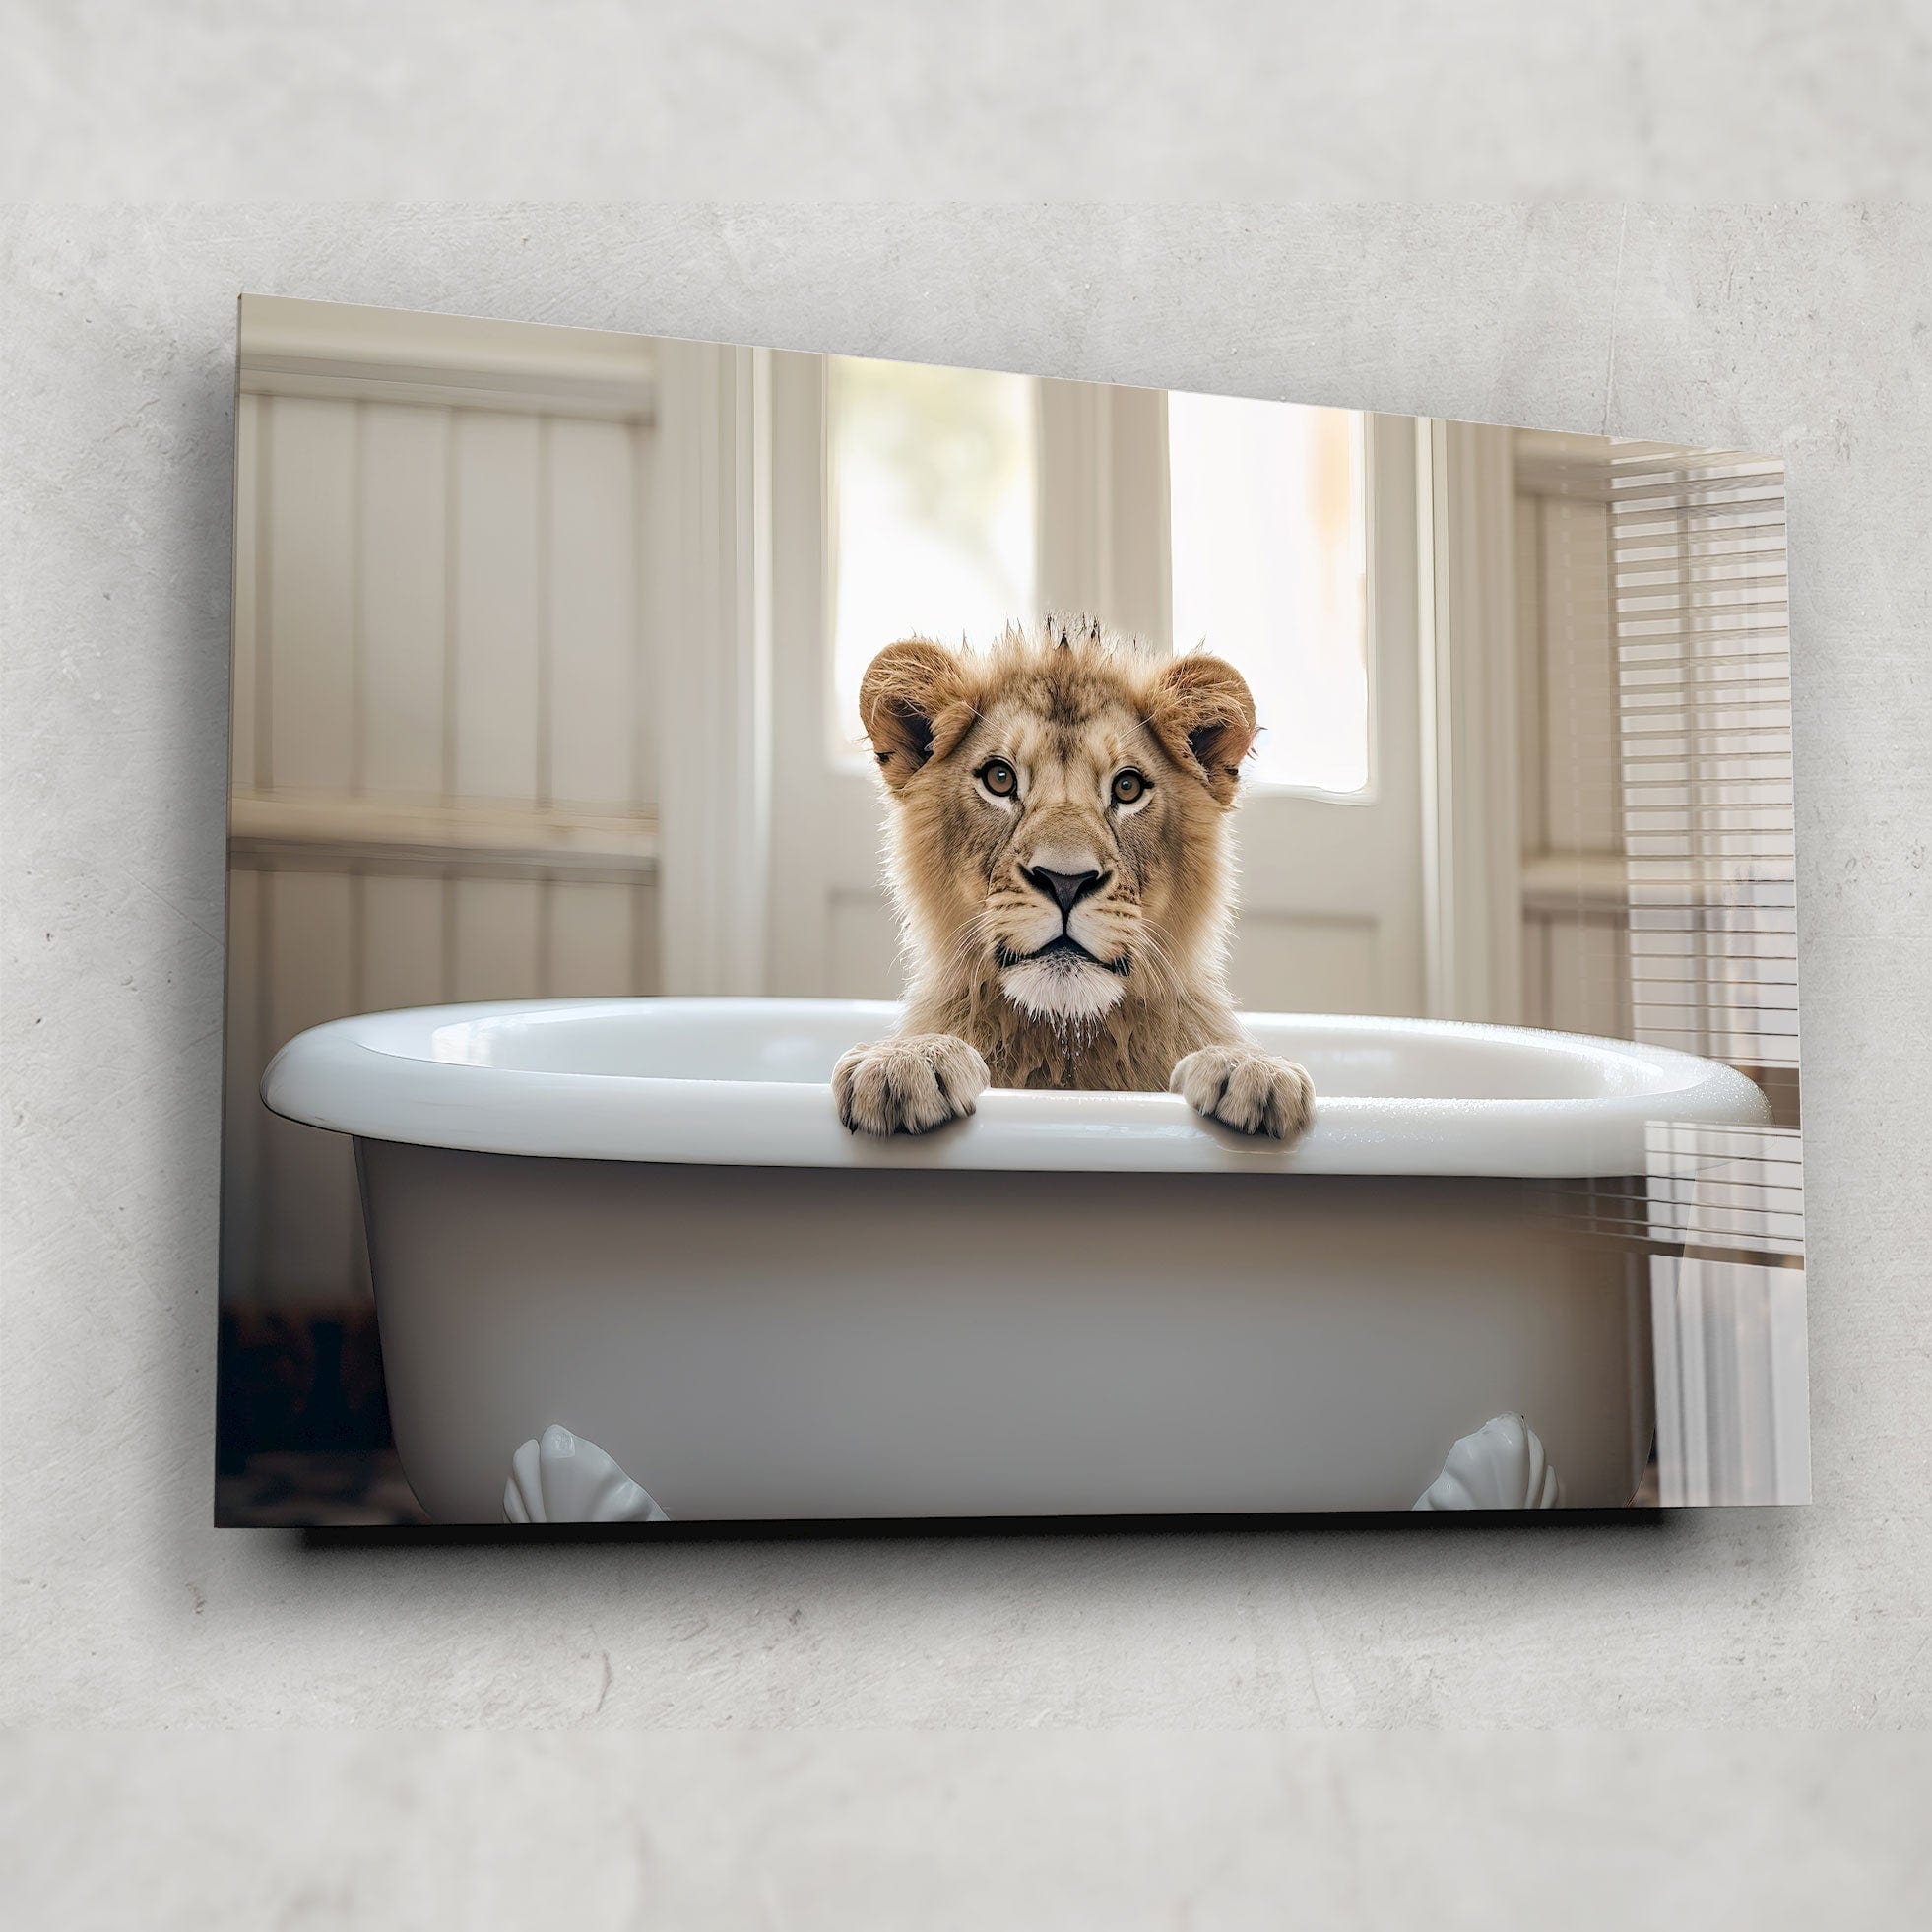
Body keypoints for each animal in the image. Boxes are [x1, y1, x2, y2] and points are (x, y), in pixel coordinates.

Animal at [832, 616, 1315, 1144]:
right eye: (1000, 778)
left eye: (1127, 787)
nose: (1066, 881)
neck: (1066, 1042)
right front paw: (907, 1060)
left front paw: (1248, 1068)